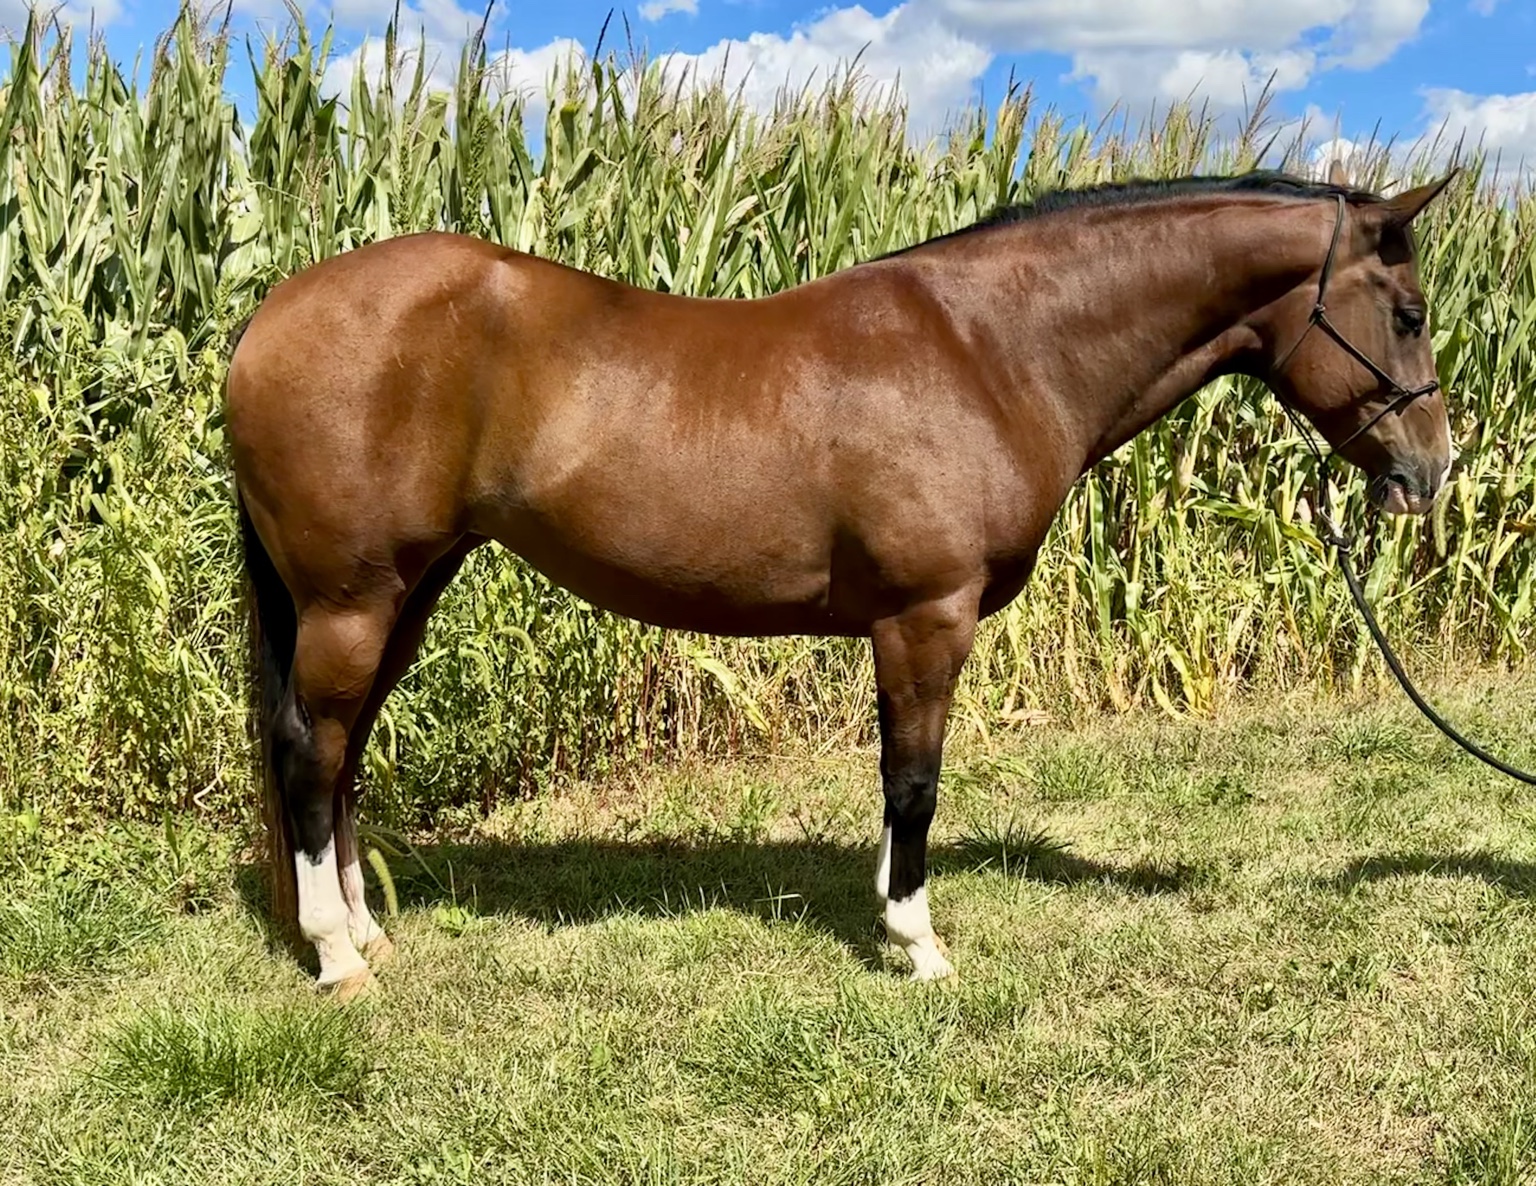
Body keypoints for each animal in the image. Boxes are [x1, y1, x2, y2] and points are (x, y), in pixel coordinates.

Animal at [227, 166, 1457, 999]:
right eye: (1406, 313)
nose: (1428, 473)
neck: (990, 348)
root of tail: (269, 317)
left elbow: (897, 778)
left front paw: (888, 912)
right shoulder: (927, 617)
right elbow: (915, 779)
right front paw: (918, 942)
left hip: (407, 591)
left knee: (342, 754)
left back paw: (363, 933)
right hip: (353, 598)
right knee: (310, 749)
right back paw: (337, 957)